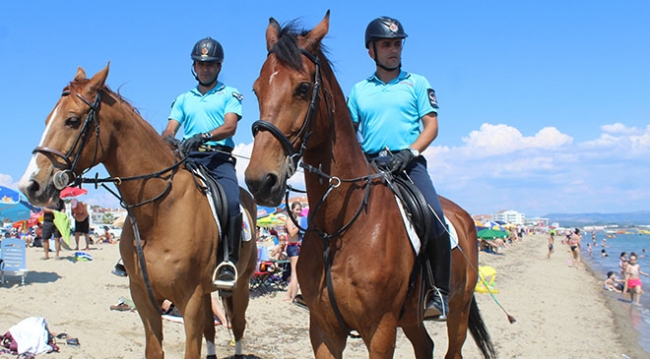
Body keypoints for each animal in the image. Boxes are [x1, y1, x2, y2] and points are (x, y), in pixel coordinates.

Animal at [17, 65, 256, 359]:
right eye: (47, 119)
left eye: (72, 120)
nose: (30, 185)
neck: (159, 212)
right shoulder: (143, 296)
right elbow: (154, 349)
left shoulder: (191, 299)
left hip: (240, 285)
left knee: (238, 325)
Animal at [246, 12, 494, 358]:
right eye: (257, 90)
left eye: (303, 87)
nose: (260, 181)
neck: (338, 228)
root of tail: (464, 215)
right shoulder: (323, 330)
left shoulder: (380, 331)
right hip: (412, 318)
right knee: (425, 345)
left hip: (458, 309)